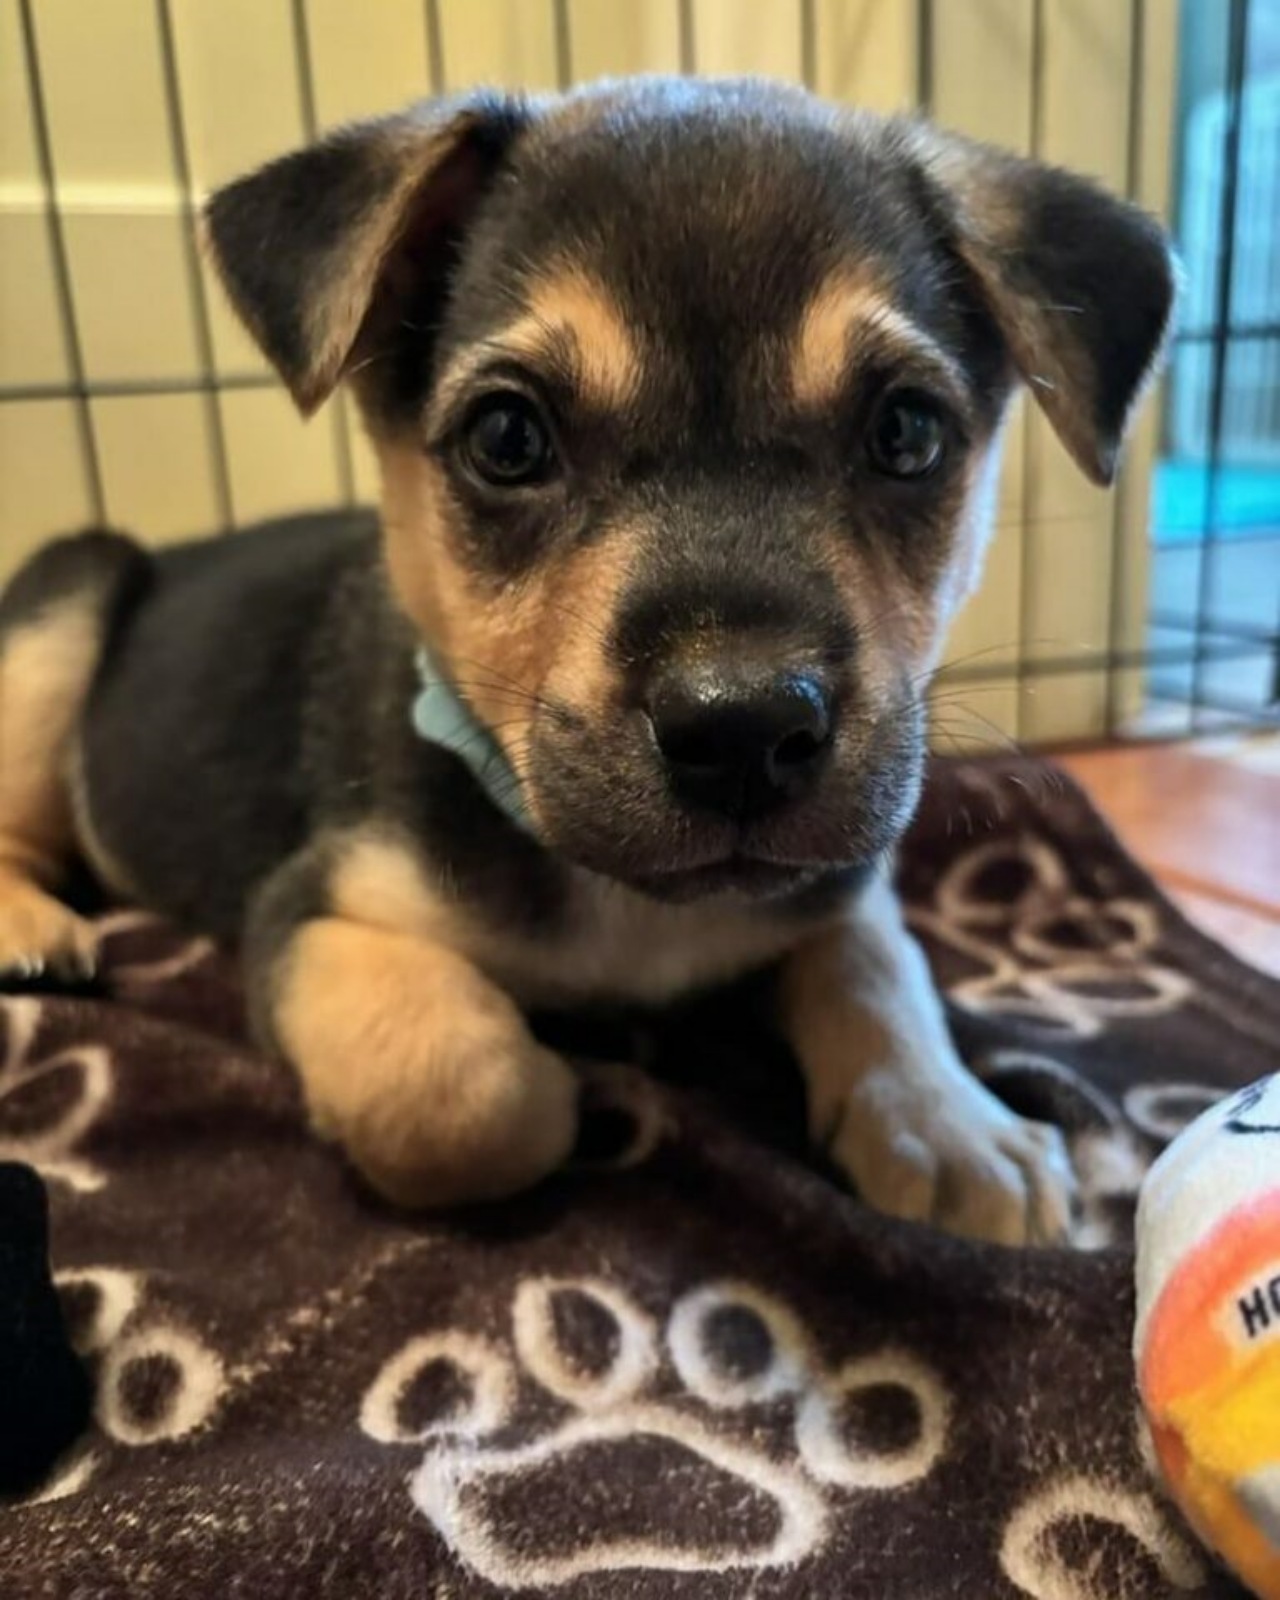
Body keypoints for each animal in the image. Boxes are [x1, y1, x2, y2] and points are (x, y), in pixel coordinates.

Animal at [0, 81, 1177, 1241]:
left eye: (906, 433)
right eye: (507, 439)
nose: (742, 732)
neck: (639, 907)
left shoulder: (838, 882)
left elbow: (880, 964)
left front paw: (947, 1126)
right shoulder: (312, 911)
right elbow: (460, 1095)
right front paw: (573, 1087)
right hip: (65, 604)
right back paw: (30, 924)